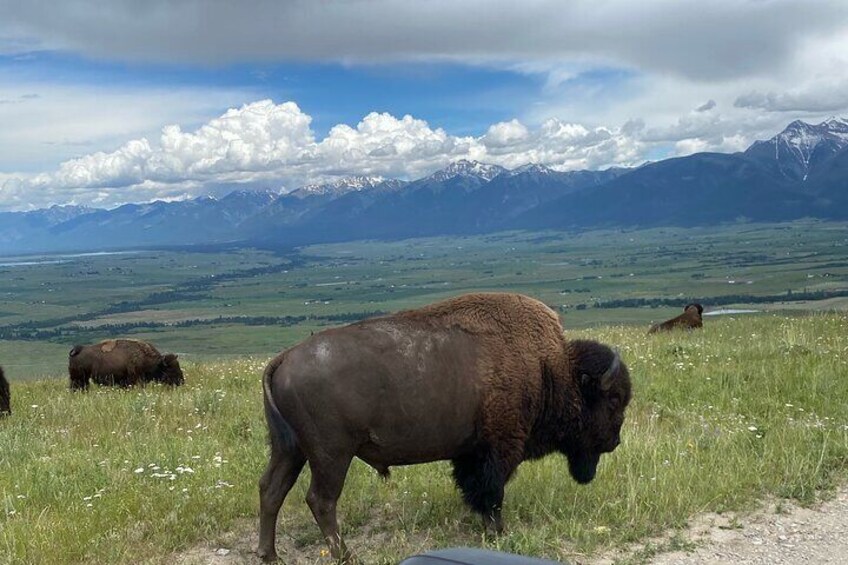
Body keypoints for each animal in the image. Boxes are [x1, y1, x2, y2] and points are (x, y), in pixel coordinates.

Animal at [258, 290, 628, 560]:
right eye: (612, 400)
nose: (615, 442)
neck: (550, 368)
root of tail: (284, 358)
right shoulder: (499, 448)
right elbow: (492, 490)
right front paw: (498, 531)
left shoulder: (471, 452)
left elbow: (474, 487)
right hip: (331, 455)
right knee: (320, 500)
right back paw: (346, 556)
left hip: (289, 449)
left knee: (271, 490)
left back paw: (270, 555)